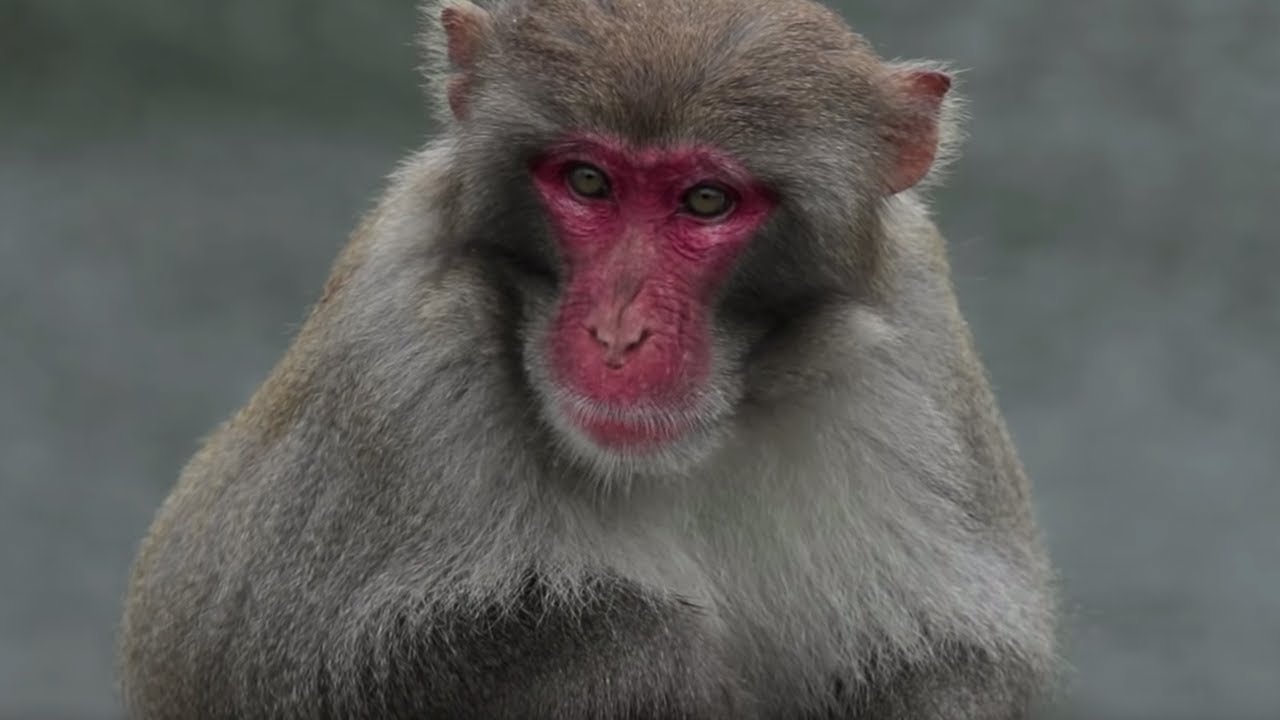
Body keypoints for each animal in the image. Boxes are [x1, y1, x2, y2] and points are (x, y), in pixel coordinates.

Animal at [118, 0, 1059, 718]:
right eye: (587, 182)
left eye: (706, 200)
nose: (617, 333)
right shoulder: (397, 357)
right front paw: (657, 658)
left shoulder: (919, 343)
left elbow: (947, 665)